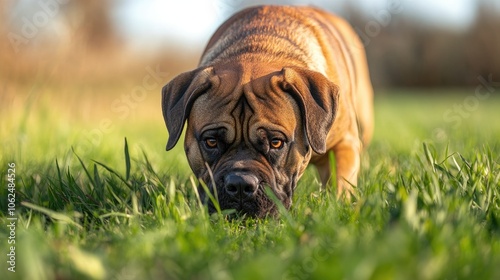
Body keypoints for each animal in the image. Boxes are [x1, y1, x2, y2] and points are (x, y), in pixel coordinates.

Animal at [162, 5, 374, 218]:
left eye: (276, 142)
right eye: (211, 142)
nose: (240, 184)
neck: (258, 48)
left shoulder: (344, 142)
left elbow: (340, 181)